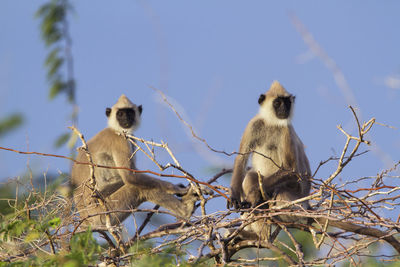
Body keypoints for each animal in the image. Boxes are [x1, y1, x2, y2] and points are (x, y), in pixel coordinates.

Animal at [70, 95, 211, 229]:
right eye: (120, 114)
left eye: (130, 113)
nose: (126, 119)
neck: (114, 129)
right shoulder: (120, 140)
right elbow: (130, 176)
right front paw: (177, 189)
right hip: (104, 213)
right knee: (137, 188)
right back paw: (185, 209)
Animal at [228, 81, 310, 234]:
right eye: (277, 103)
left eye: (287, 102)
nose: (284, 109)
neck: (272, 123)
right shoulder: (253, 125)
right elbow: (241, 159)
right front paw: (234, 194)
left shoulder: (286, 131)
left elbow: (291, 170)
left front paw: (254, 194)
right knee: (251, 176)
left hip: (296, 199)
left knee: (281, 190)